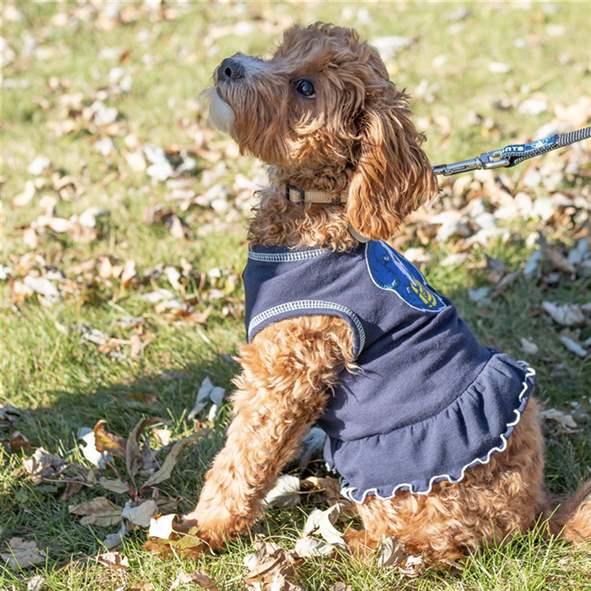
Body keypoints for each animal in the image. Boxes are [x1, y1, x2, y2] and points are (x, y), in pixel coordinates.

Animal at [183, 23, 588, 568]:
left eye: (305, 88)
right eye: (282, 51)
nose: (229, 65)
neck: (315, 213)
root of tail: (535, 513)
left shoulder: (285, 375)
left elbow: (242, 458)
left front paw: (200, 530)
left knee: (430, 544)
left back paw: (347, 542)